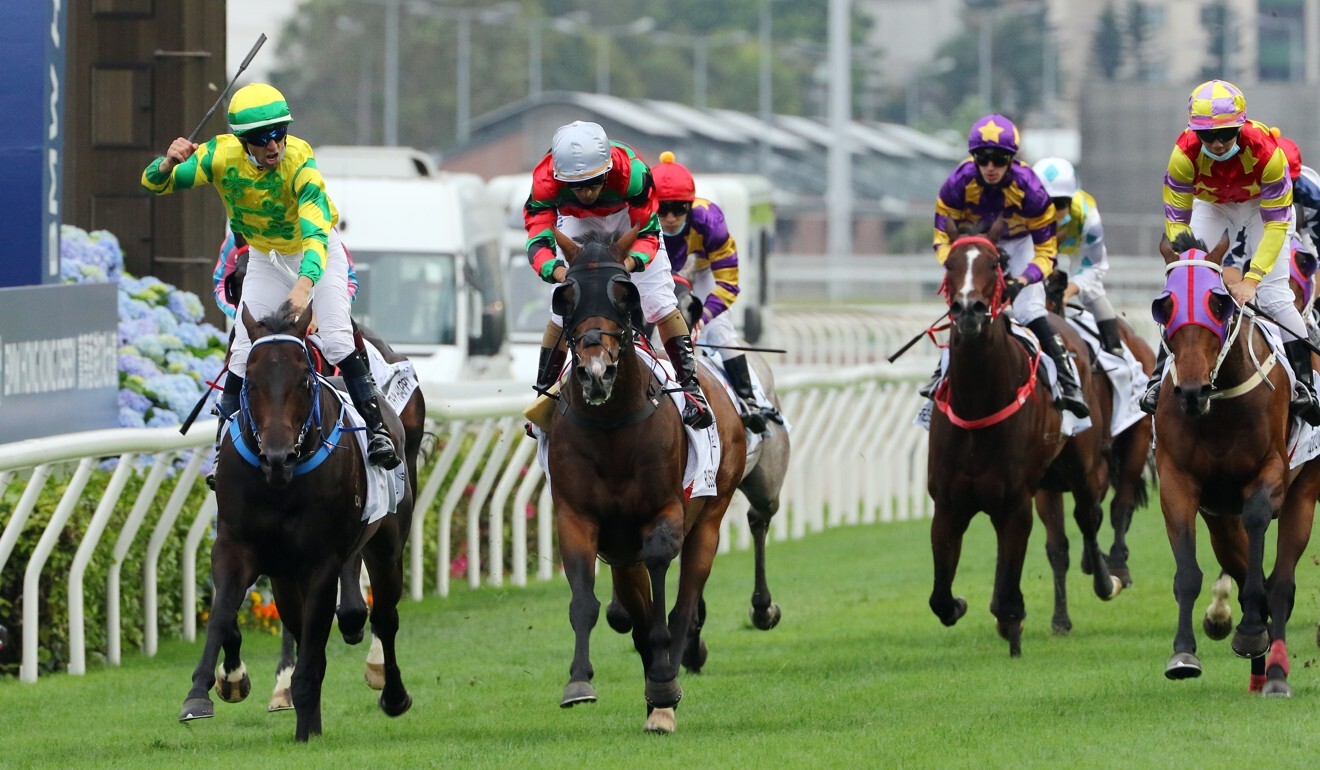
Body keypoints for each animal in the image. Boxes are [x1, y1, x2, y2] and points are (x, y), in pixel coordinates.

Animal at [180, 302, 414, 739]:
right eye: (249, 381)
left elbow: (316, 643)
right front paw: (203, 692)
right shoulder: (238, 547)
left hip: (386, 546)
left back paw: (391, 694)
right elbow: (221, 616)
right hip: (288, 576)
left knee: (385, 617)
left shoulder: (322, 560)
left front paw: (304, 725)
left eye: (304, 381)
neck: (279, 484)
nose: (278, 456)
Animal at [543, 231, 749, 734]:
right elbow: (585, 601)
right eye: (566, 297)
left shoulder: (663, 513)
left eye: (625, 294)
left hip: (710, 518)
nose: (596, 371)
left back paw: (666, 685)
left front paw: (662, 686)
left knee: (683, 603)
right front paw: (578, 681)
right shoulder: (577, 517)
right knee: (634, 610)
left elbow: (662, 593)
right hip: (621, 550)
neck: (612, 427)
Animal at [929, 231, 1124, 657]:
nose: (968, 310)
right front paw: (964, 604)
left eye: (995, 264)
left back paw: (1106, 579)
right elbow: (941, 599)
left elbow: (1009, 588)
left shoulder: (1016, 502)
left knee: (1088, 516)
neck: (979, 403)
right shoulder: (948, 504)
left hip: (1082, 465)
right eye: (949, 264)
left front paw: (1012, 628)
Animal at [1151, 232, 1314, 697]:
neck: (1220, 404)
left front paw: (1252, 630)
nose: (1191, 391)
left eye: (1218, 303)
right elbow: (1189, 572)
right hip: (1221, 518)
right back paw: (1257, 668)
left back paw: (1274, 672)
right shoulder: (1178, 482)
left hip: (1304, 492)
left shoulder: (1272, 472)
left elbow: (1259, 522)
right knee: (1246, 571)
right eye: (1163, 306)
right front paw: (1184, 653)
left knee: (1282, 582)